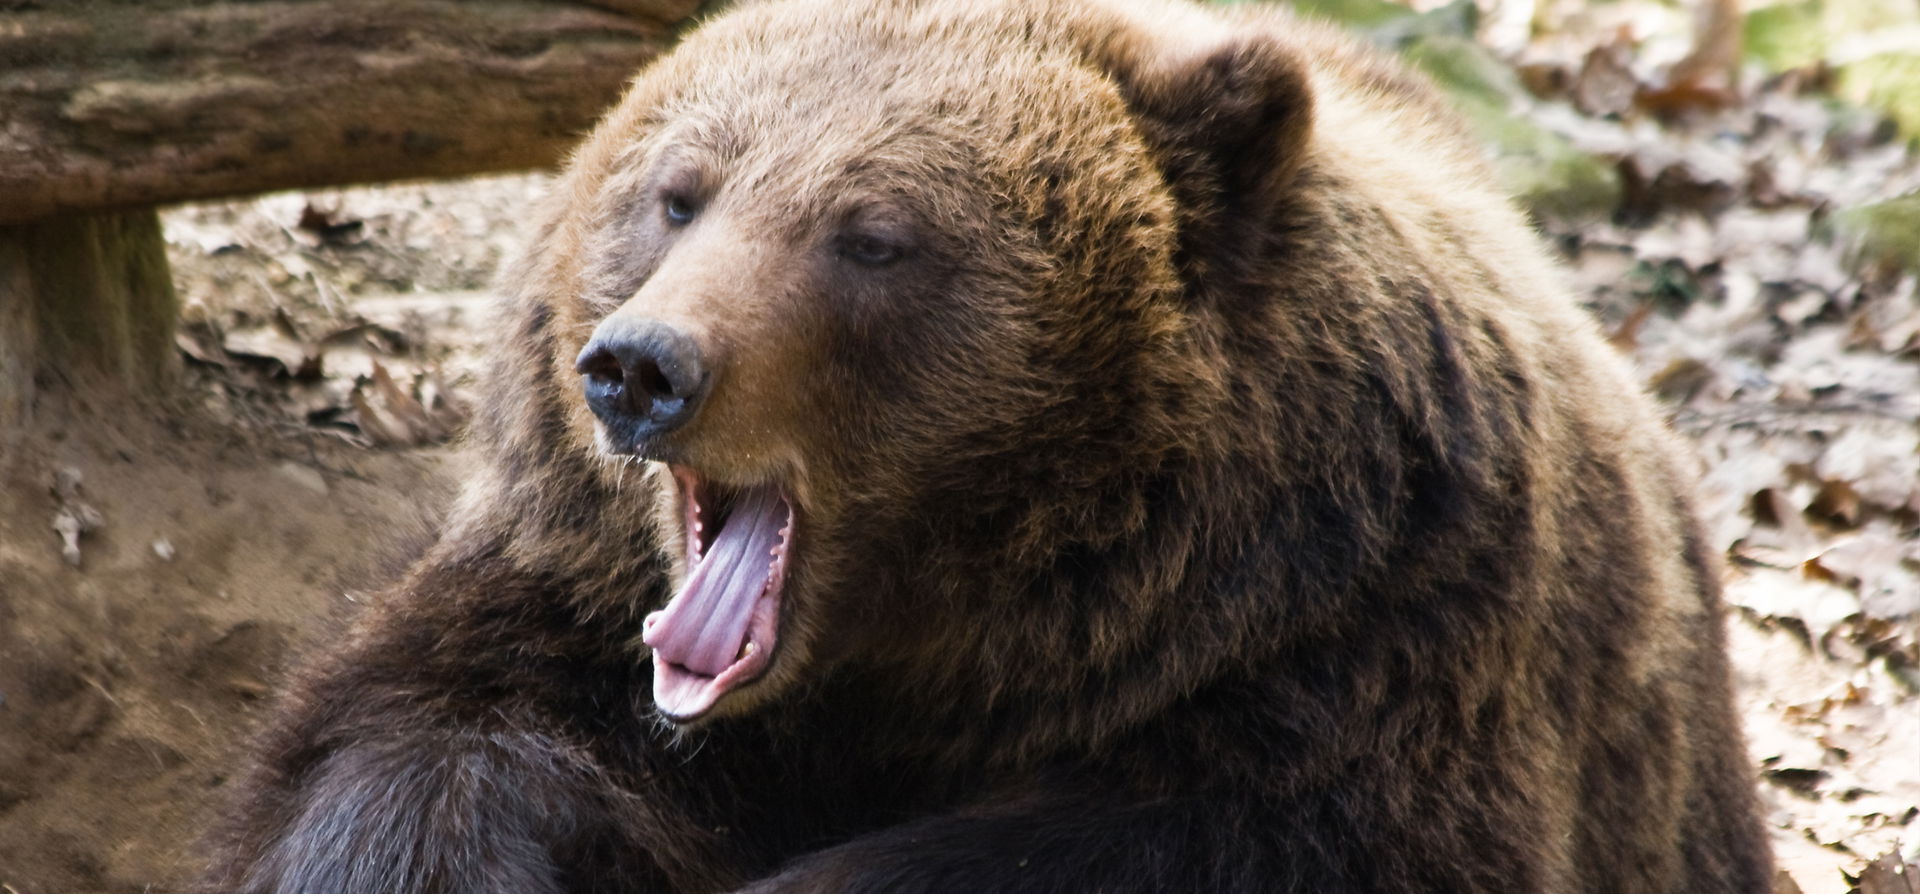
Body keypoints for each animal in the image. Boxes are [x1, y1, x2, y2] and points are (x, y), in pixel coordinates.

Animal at [194, 0, 1766, 890]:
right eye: (679, 191)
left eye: (873, 234)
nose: (641, 369)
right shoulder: (564, 604)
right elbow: (411, 748)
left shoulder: (1367, 645)